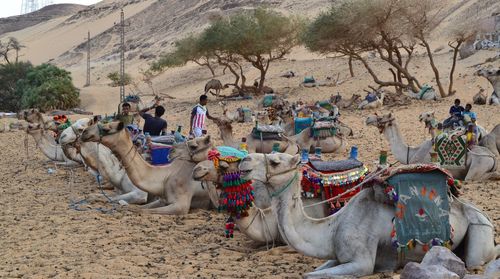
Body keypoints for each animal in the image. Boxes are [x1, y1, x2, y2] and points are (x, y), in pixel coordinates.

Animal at [81, 121, 214, 215]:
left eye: (106, 128)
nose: (84, 132)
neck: (165, 176)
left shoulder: (181, 205)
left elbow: (139, 209)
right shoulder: (162, 200)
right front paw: (90, 197)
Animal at [240, 153, 498, 278]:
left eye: (274, 161)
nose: (243, 162)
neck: (331, 227)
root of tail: (484, 215)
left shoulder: (361, 262)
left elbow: (309, 276)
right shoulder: (338, 256)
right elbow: (313, 271)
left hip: (478, 229)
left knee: (479, 258)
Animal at [366, 114, 498, 182]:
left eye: (381, 117)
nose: (368, 118)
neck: (410, 152)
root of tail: (491, 156)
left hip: (478, 165)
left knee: (476, 177)